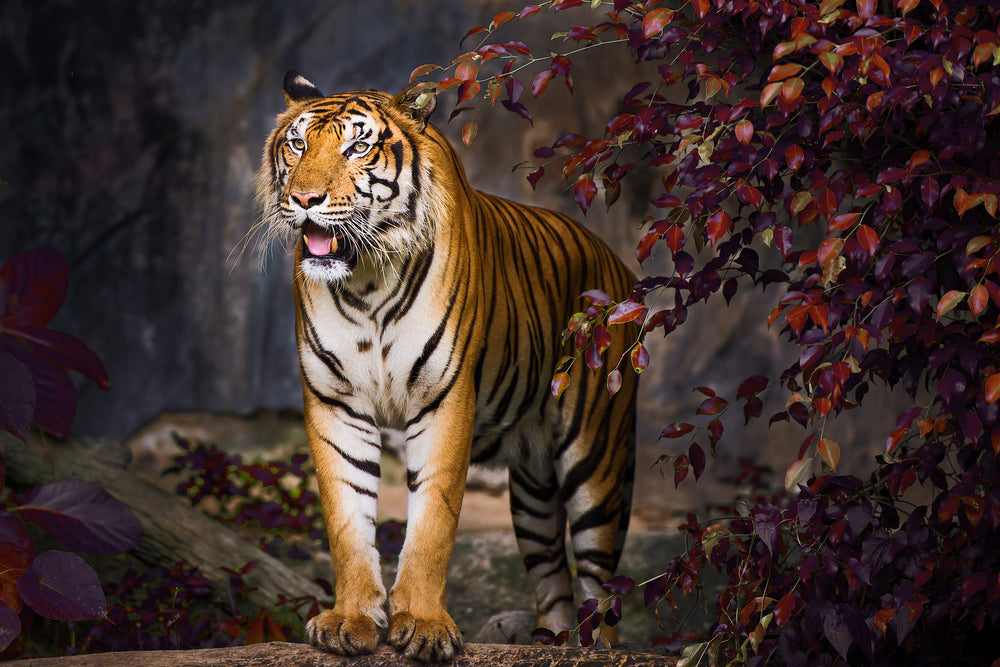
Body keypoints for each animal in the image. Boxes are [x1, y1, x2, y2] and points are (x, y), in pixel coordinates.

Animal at [254, 70, 636, 660]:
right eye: (297, 145)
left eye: (357, 147)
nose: (304, 198)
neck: (366, 278)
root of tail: (619, 268)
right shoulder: (336, 403)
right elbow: (347, 518)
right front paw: (350, 618)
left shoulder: (444, 399)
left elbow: (432, 519)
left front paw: (424, 625)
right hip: (533, 491)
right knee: (553, 578)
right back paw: (551, 644)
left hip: (595, 460)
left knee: (600, 580)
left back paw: (595, 650)